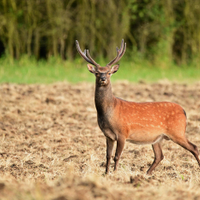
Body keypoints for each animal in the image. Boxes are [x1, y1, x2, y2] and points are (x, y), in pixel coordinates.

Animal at [75, 39, 200, 175]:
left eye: (109, 73)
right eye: (97, 73)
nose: (103, 78)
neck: (109, 111)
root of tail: (183, 111)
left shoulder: (123, 132)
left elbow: (117, 156)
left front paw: (115, 173)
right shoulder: (108, 135)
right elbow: (107, 156)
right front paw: (106, 173)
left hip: (177, 131)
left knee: (194, 147)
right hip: (158, 138)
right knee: (159, 156)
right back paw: (146, 174)